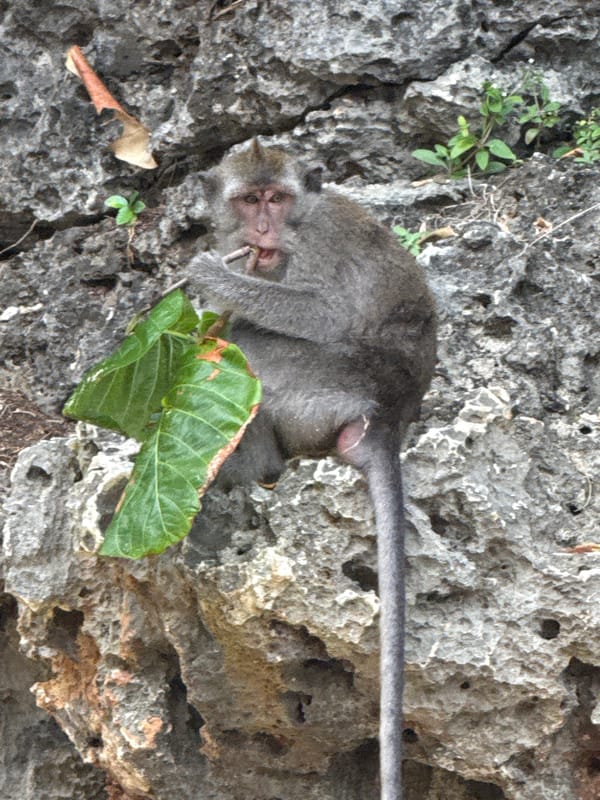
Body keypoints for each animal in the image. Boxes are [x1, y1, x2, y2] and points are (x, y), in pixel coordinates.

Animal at [187, 139, 437, 800]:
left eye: (277, 199)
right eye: (249, 200)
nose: (263, 230)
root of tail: (386, 414)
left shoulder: (319, 245)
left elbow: (321, 314)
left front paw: (212, 279)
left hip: (324, 382)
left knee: (249, 345)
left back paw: (246, 471)